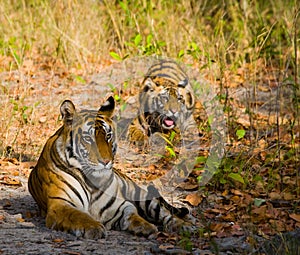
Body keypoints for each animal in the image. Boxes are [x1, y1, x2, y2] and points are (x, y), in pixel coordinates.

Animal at [28, 95, 195, 239]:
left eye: (108, 136)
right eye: (88, 138)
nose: (106, 161)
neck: (92, 182)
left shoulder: (120, 205)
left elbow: (133, 215)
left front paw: (145, 227)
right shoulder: (60, 204)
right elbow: (78, 215)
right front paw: (94, 227)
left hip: (141, 195)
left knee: (166, 213)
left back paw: (185, 226)